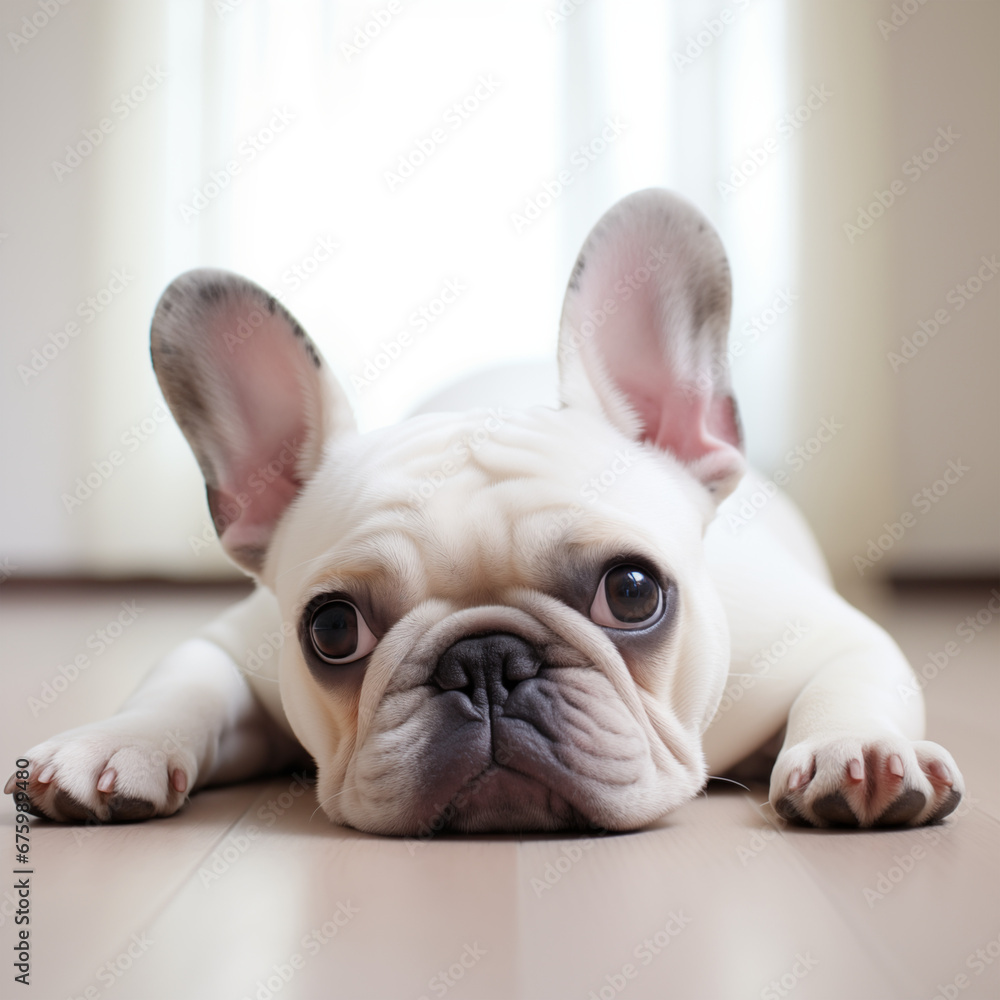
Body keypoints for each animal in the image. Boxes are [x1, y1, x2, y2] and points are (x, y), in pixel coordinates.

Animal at [5, 189, 960, 836]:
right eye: (331, 630)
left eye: (633, 593)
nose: (485, 660)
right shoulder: (229, 647)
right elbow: (183, 689)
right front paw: (113, 744)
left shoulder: (825, 636)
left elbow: (853, 679)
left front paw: (861, 752)